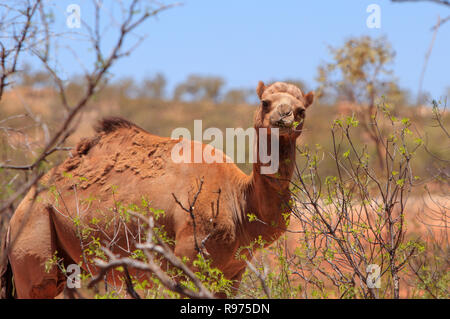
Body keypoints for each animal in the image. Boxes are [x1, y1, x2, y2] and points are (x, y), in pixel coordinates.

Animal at [0, 81, 312, 298]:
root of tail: (19, 209)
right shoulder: (190, 261)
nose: (284, 116)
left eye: (301, 110)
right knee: (37, 286)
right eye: (265, 102)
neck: (239, 199)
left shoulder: (232, 274)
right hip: (34, 234)